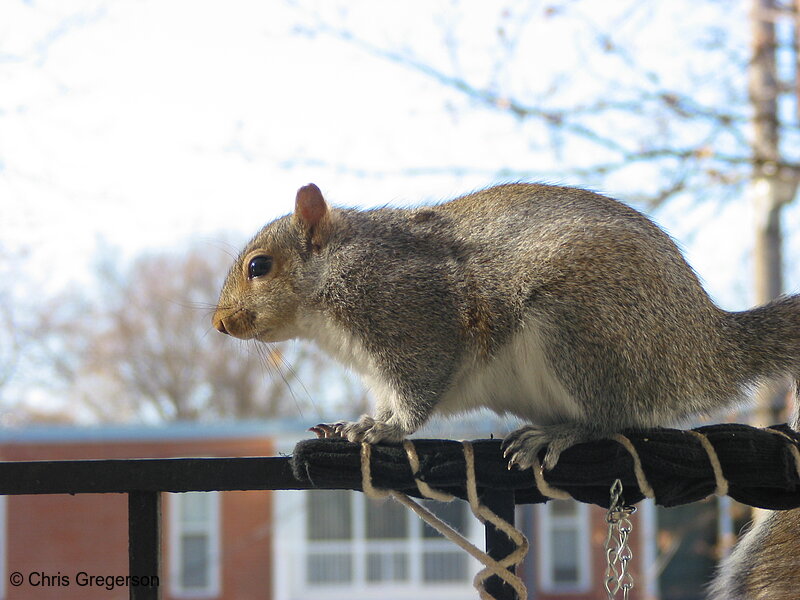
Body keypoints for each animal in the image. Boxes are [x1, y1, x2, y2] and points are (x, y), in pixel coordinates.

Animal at [211, 180, 800, 472]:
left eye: (259, 267)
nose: (219, 323)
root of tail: (706, 347)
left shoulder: (413, 318)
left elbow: (417, 392)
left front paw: (385, 430)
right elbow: (385, 399)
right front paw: (359, 423)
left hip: (581, 330)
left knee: (613, 417)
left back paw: (562, 433)